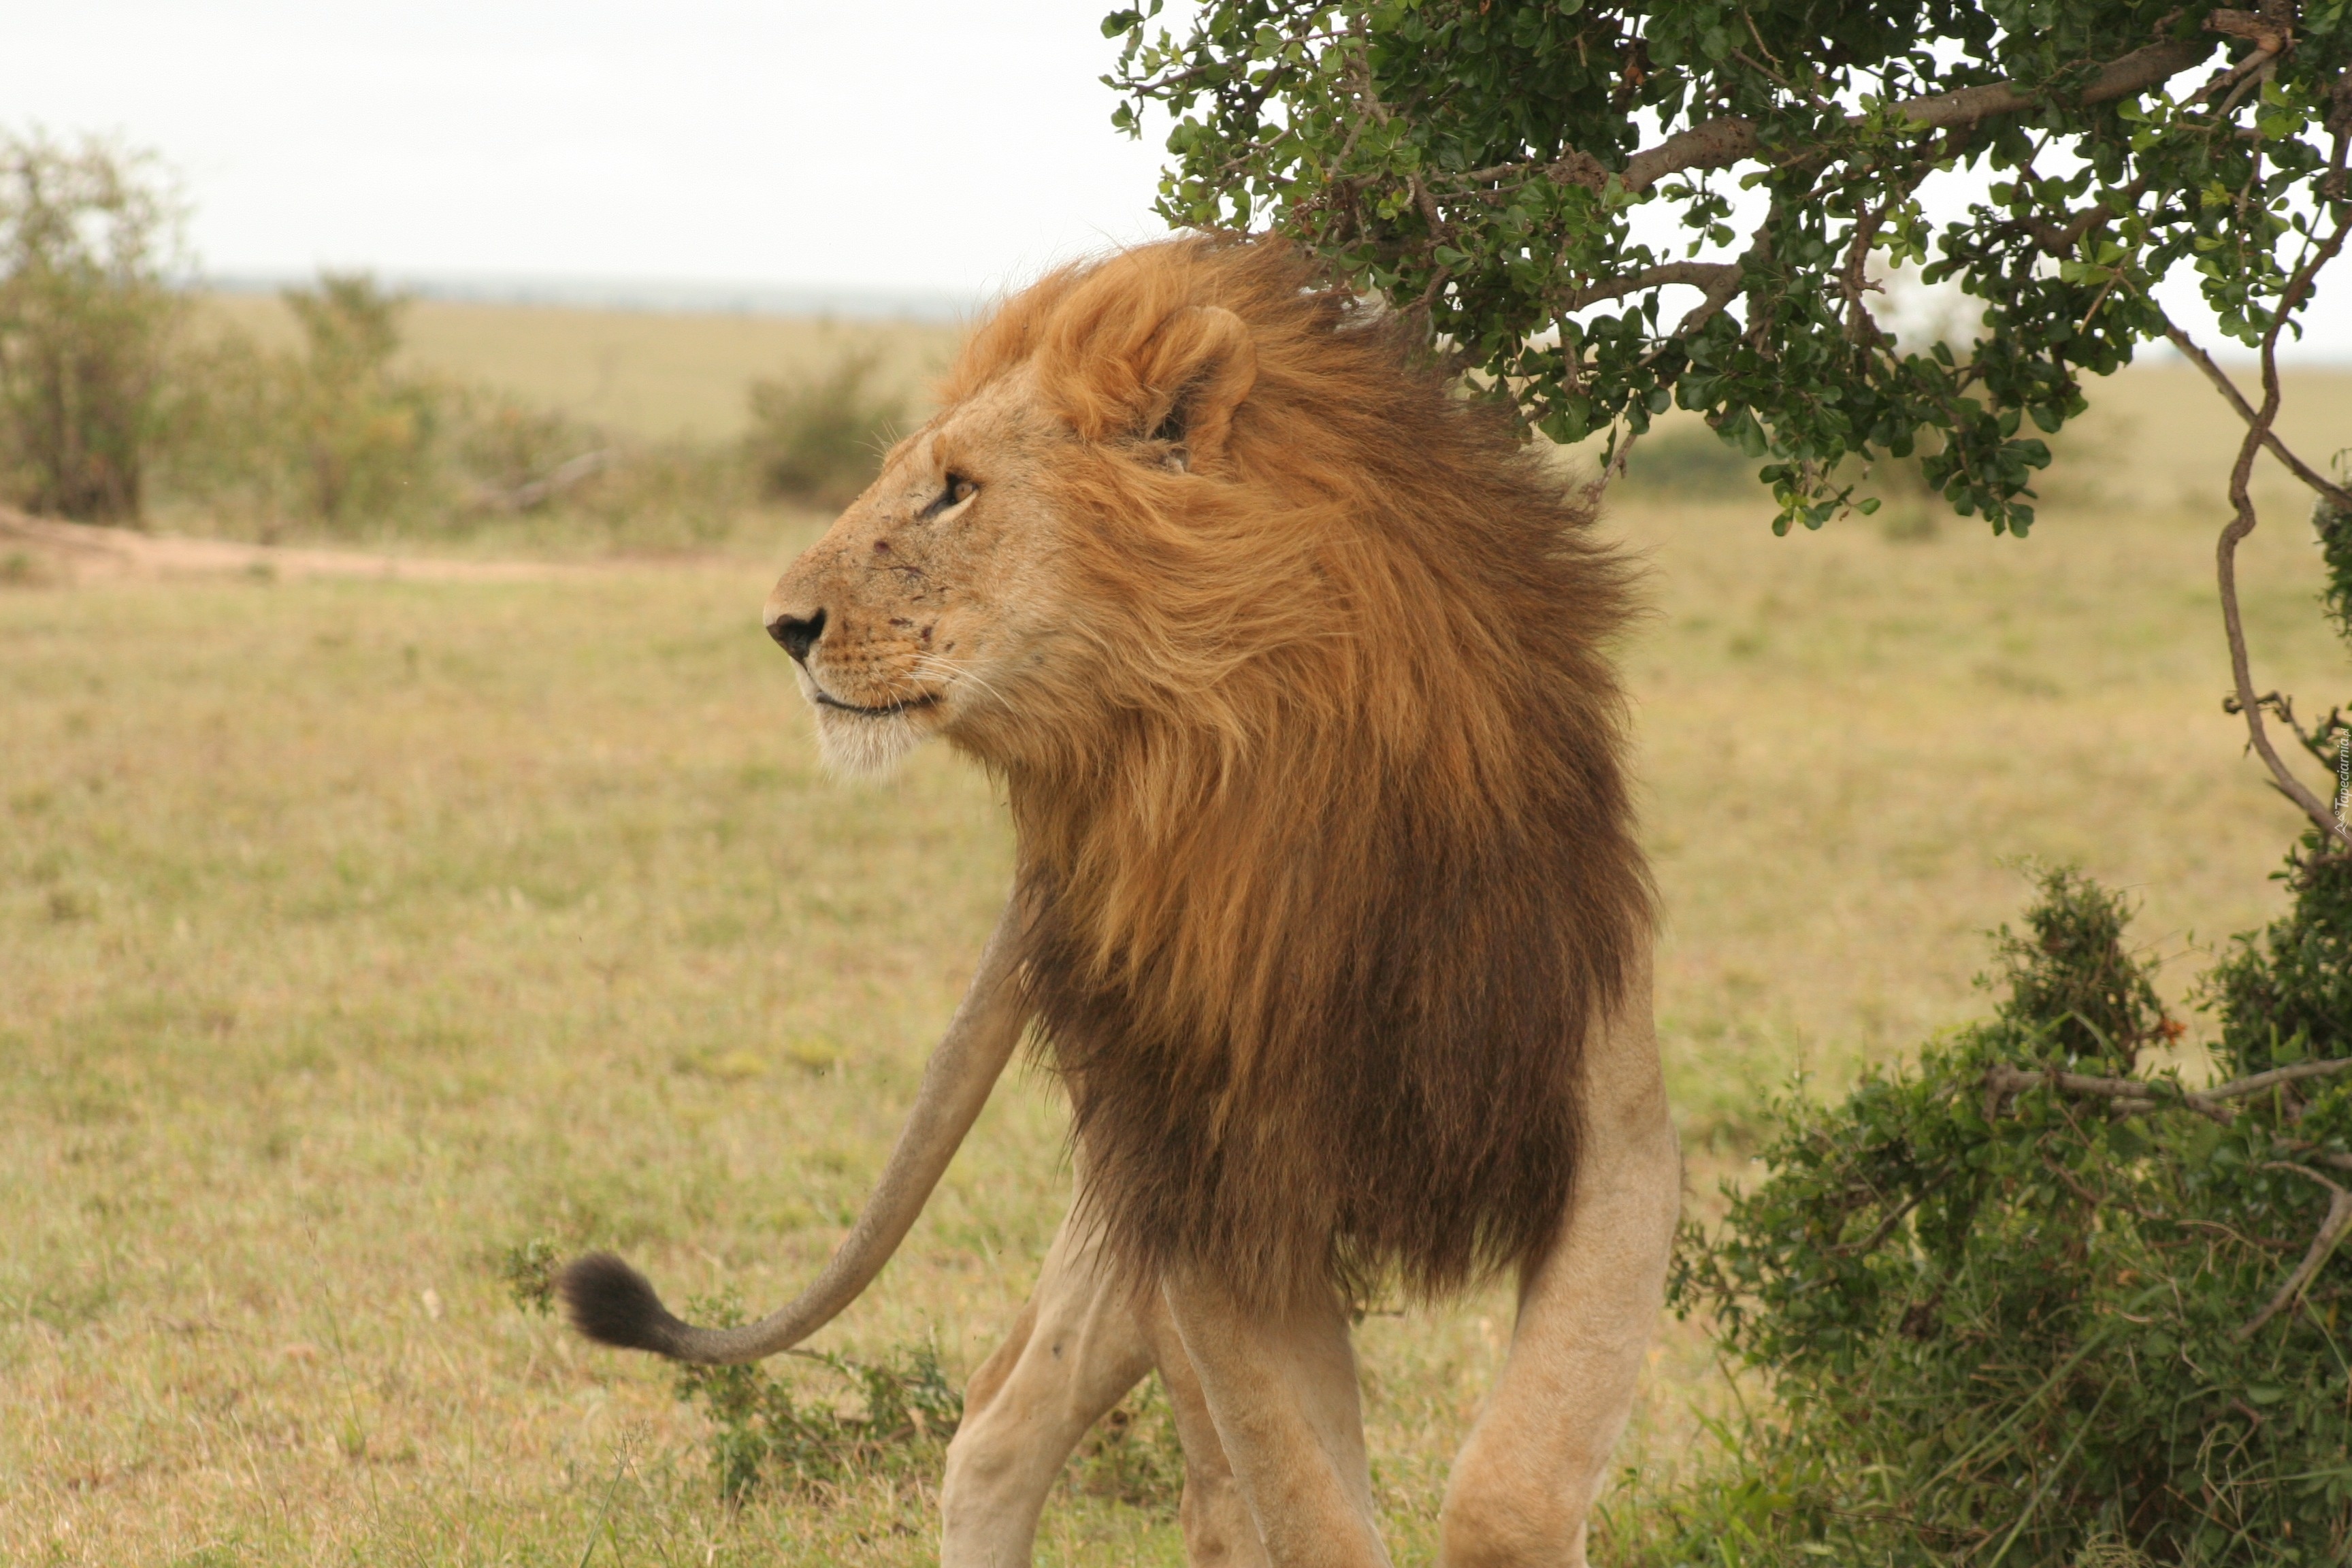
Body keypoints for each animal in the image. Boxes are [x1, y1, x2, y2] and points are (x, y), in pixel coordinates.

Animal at [557, 236, 1684, 1568]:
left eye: (954, 490)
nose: (785, 626)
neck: (1245, 783)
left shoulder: (1614, 1142)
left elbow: (1513, 1491)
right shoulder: (1211, 1199)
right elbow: (1309, 1513)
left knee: (1021, 1419)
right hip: (1133, 1178)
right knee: (1056, 1445)